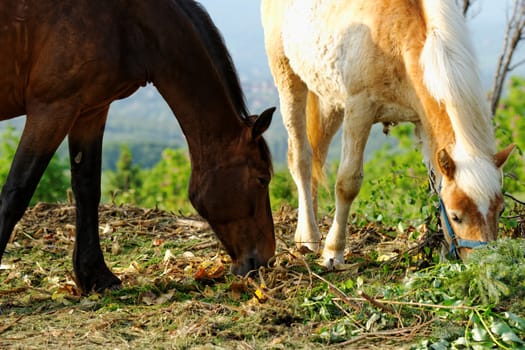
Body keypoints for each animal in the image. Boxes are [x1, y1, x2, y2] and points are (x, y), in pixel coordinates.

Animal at [0, 0, 276, 292]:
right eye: (262, 179)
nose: (266, 259)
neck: (128, 22)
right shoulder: (52, 109)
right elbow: (17, 192)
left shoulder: (90, 110)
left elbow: (87, 189)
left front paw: (96, 275)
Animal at [262, 0, 512, 268]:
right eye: (457, 216)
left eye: (501, 210)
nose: (486, 263)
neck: (400, 38)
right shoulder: (359, 109)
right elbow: (347, 183)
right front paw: (333, 252)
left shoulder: (424, 123)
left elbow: (435, 186)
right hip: (288, 78)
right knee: (301, 159)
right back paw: (309, 237)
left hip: (329, 98)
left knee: (317, 153)